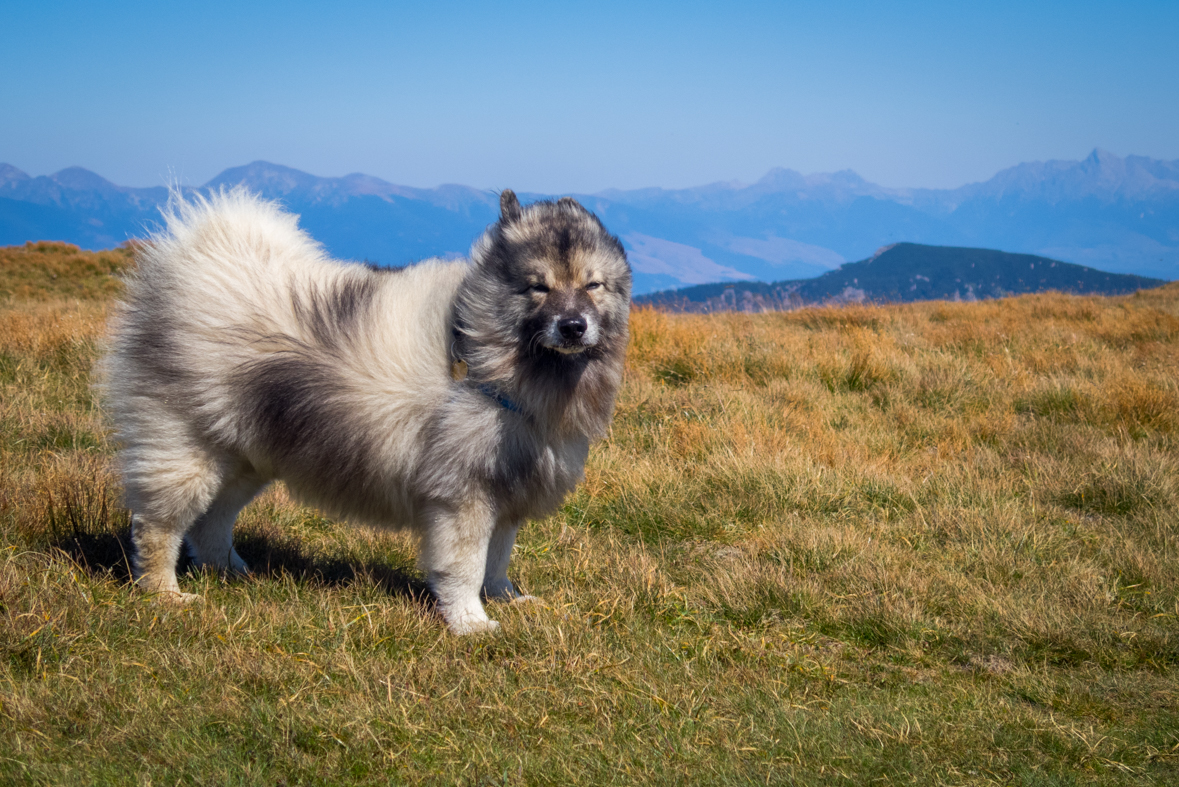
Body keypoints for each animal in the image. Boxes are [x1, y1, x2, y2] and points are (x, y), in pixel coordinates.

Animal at [101, 187, 631, 636]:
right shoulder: (464, 496)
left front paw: (505, 598)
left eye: (593, 285)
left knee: (212, 520)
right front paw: (470, 623)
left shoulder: (506, 493)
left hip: (247, 457)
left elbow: (497, 560)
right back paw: (164, 593)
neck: (489, 362)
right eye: (538, 287)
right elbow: (465, 566)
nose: (573, 326)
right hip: (186, 452)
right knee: (158, 526)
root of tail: (194, 263)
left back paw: (232, 572)